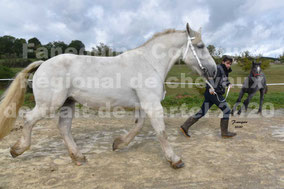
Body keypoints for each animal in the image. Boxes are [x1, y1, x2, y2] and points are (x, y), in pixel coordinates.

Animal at [0, 22, 215, 169]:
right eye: (201, 46)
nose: (213, 70)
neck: (149, 63)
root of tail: (42, 64)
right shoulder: (152, 104)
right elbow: (161, 132)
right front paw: (175, 160)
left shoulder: (142, 105)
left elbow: (138, 126)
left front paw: (118, 144)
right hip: (49, 104)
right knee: (28, 119)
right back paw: (17, 150)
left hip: (68, 103)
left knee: (63, 128)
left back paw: (78, 157)